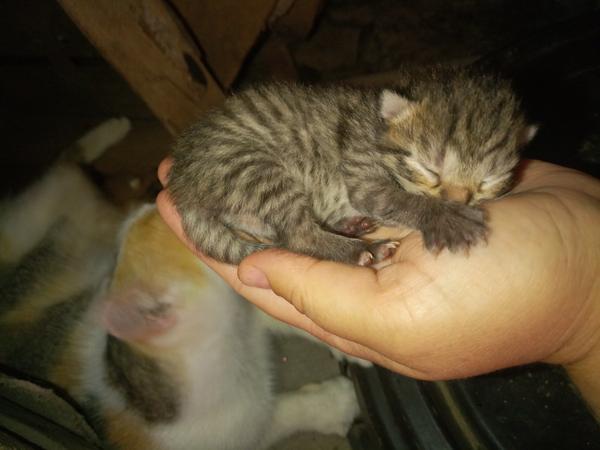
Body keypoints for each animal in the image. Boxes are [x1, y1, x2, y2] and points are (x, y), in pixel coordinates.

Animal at [0, 120, 360, 450]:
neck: (232, 343)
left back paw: (112, 133)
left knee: (68, 166)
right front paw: (336, 401)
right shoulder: (232, 435)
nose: (150, 202)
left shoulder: (243, 310)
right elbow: (280, 413)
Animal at [168, 66, 537, 265]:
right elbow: (399, 200)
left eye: (488, 180)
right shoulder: (361, 168)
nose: (458, 203)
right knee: (298, 234)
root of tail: (181, 185)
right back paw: (363, 249)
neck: (378, 129)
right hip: (252, 167)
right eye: (430, 169)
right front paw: (447, 219)